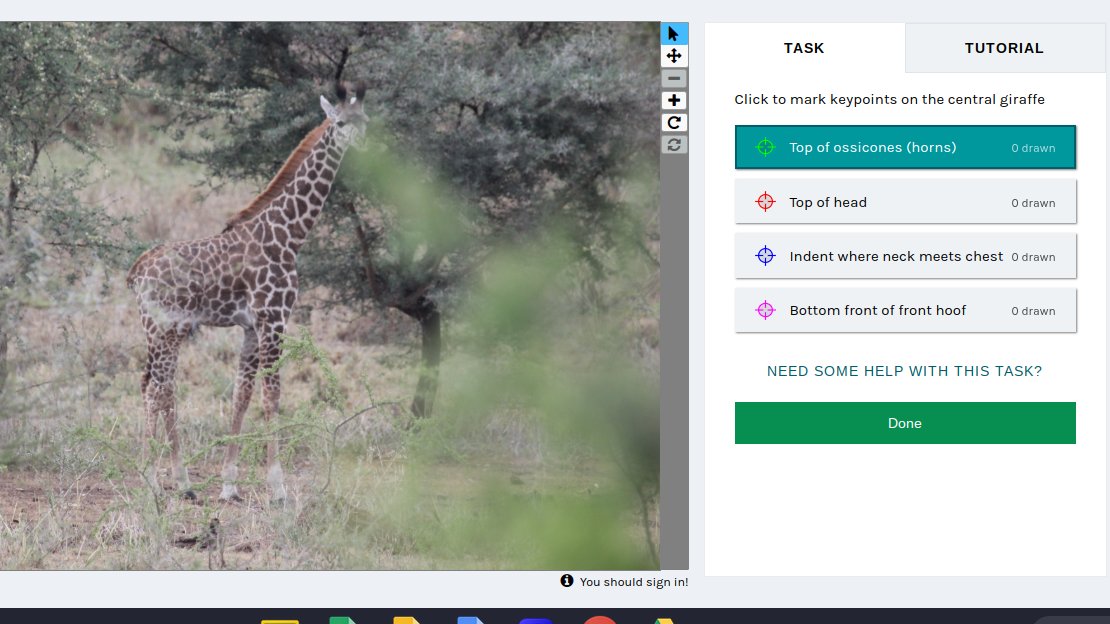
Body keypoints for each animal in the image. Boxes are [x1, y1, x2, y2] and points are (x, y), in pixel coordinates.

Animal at [127, 85, 369, 503]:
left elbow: (242, 394)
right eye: (339, 123)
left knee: (155, 385)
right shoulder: (275, 318)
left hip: (161, 331)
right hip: (165, 327)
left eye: (366, 122)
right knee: (157, 388)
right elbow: (272, 396)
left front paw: (229, 484)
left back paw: (181, 482)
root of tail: (138, 269)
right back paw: (154, 481)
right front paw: (278, 486)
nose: (367, 147)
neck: (289, 235)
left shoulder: (252, 326)